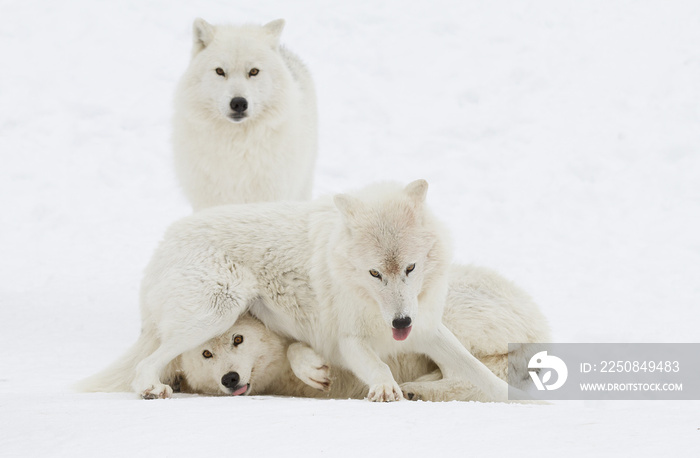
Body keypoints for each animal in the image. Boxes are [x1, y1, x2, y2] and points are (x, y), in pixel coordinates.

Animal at [79, 179, 524, 400]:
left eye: (410, 269)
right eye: (374, 273)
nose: (400, 323)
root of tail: (162, 245)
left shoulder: (427, 328)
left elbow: (477, 371)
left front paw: (524, 402)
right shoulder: (349, 341)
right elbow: (379, 368)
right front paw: (385, 390)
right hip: (217, 312)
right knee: (146, 364)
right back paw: (151, 389)